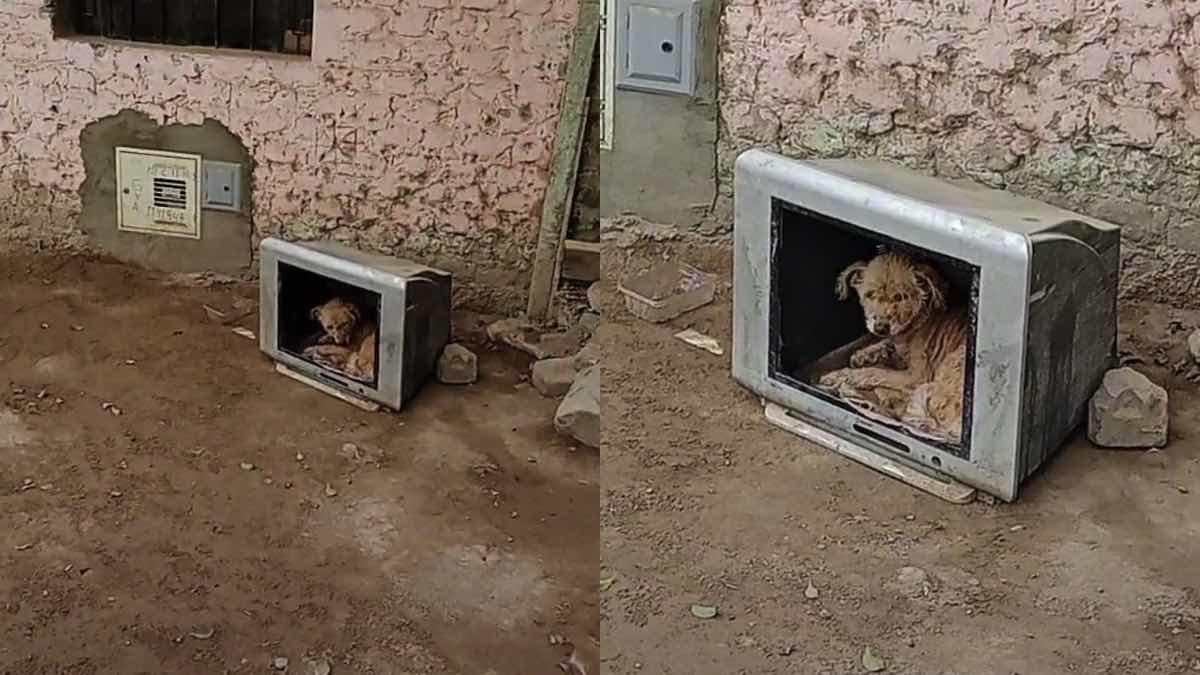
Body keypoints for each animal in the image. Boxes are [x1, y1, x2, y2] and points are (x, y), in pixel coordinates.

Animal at [811, 251, 969, 441]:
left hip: (934, 382)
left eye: (900, 297)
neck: (916, 323)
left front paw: (841, 375)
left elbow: (875, 373)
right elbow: (885, 344)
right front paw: (865, 354)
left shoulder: (916, 376)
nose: (881, 327)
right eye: (870, 294)